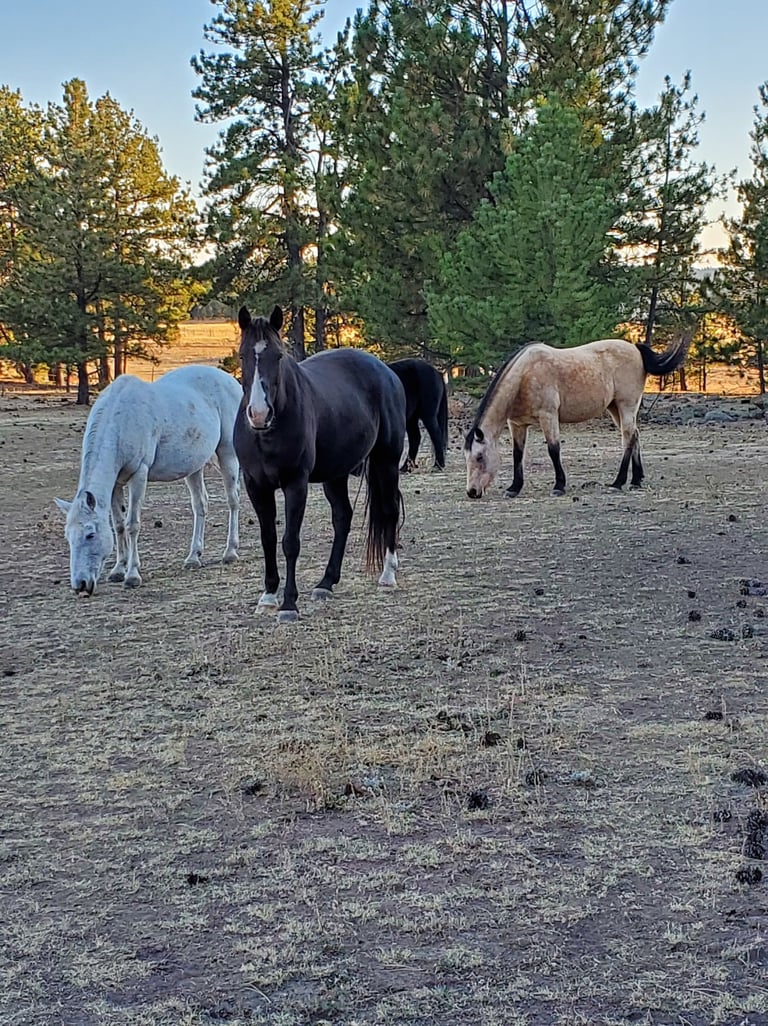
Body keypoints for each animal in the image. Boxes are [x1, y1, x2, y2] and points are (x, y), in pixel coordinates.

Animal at [55, 365, 242, 594]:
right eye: (68, 537)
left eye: (90, 535)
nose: (80, 585)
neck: (120, 420)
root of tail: (231, 381)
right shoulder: (116, 484)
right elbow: (119, 525)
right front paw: (118, 570)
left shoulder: (139, 475)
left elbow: (132, 524)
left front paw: (132, 575)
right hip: (194, 467)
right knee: (200, 505)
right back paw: (193, 557)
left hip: (227, 453)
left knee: (233, 501)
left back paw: (230, 552)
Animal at [235, 304, 406, 625]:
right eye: (242, 355)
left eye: (278, 356)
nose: (260, 414)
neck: (268, 433)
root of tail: (386, 371)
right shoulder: (256, 486)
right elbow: (268, 538)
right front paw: (268, 597)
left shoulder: (295, 484)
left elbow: (290, 542)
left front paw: (289, 604)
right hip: (335, 474)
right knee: (343, 517)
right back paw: (326, 583)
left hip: (386, 460)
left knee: (389, 510)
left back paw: (388, 575)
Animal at [465, 336, 690, 499]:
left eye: (479, 457)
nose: (472, 492)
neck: (525, 375)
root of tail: (635, 349)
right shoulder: (517, 424)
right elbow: (517, 454)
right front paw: (514, 488)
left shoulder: (548, 417)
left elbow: (553, 450)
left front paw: (559, 486)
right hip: (615, 409)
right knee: (634, 436)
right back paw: (636, 480)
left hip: (626, 406)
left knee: (628, 439)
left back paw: (618, 483)